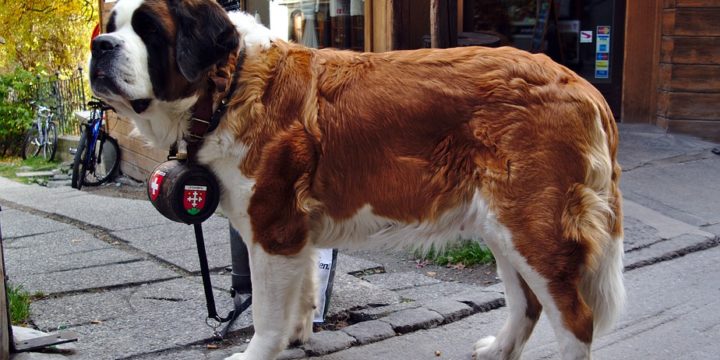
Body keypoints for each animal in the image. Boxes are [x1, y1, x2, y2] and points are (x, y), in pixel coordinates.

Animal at [90, 1, 624, 358]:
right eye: (110, 26)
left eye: (149, 30)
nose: (99, 46)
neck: (231, 83)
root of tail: (581, 83)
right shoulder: (294, 233)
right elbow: (302, 290)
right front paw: (299, 336)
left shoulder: (272, 228)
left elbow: (264, 312)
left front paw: (260, 350)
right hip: (504, 227)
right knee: (527, 303)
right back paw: (497, 349)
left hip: (532, 226)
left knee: (574, 318)